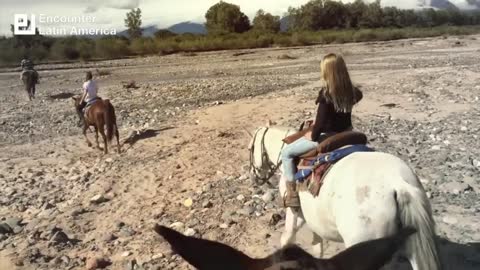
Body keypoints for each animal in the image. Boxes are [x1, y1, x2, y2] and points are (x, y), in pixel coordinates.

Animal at [251, 125, 442, 270]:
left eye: (249, 149)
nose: (254, 179)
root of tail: (398, 183)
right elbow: (317, 247)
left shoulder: (295, 213)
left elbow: (287, 239)